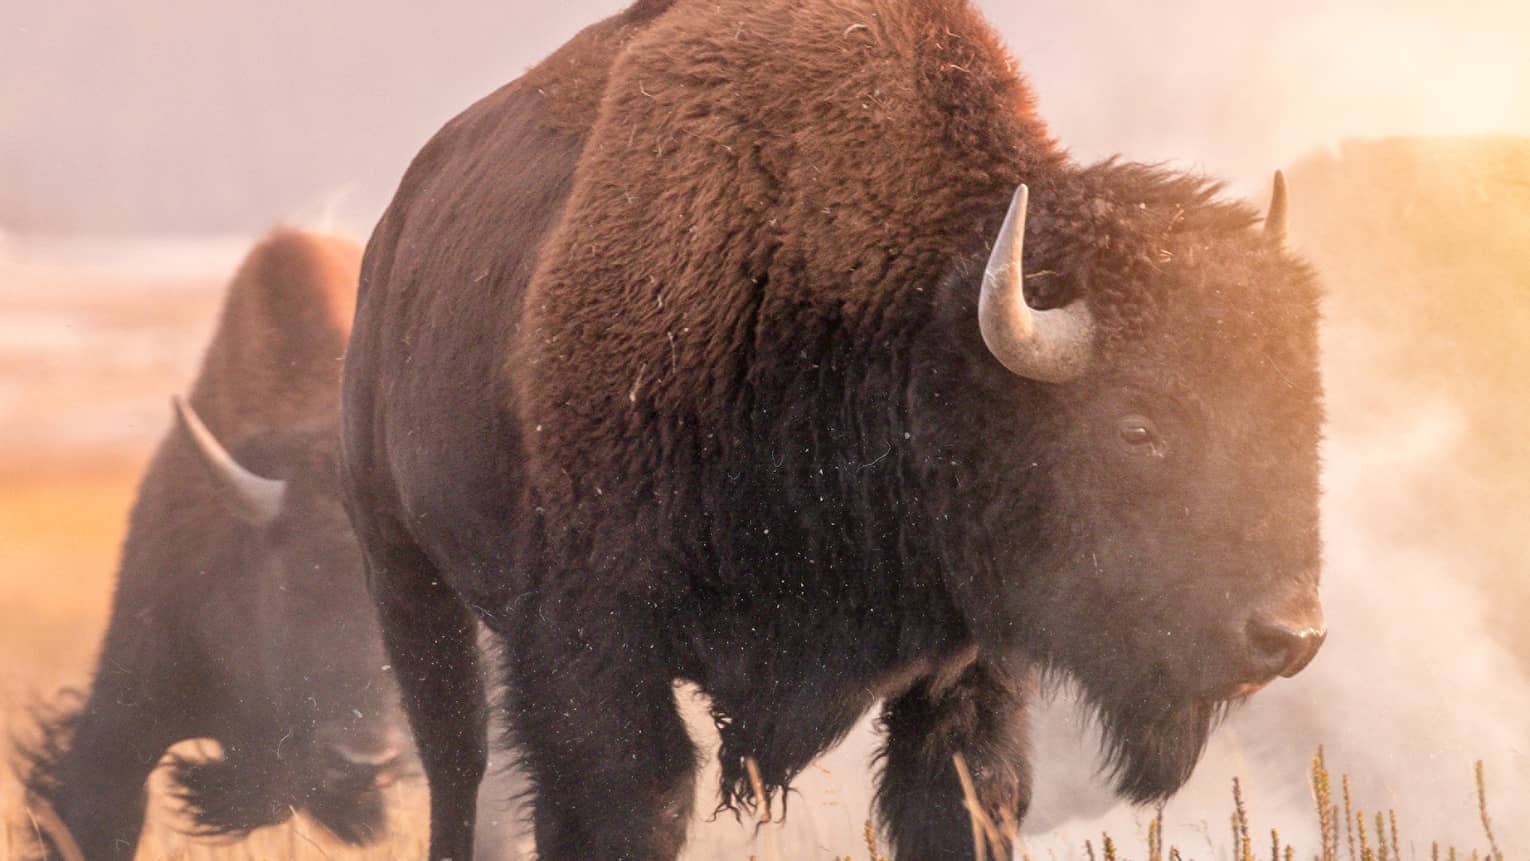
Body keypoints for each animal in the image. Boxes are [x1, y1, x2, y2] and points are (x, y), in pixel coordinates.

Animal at [340, 0, 1327, 858]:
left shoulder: (968, 676)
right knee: (454, 760)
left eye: (1302, 411)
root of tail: (393, 229)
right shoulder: (593, 658)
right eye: (1137, 427)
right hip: (400, 565)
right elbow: (628, 803)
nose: (1291, 634)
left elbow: (965, 801)